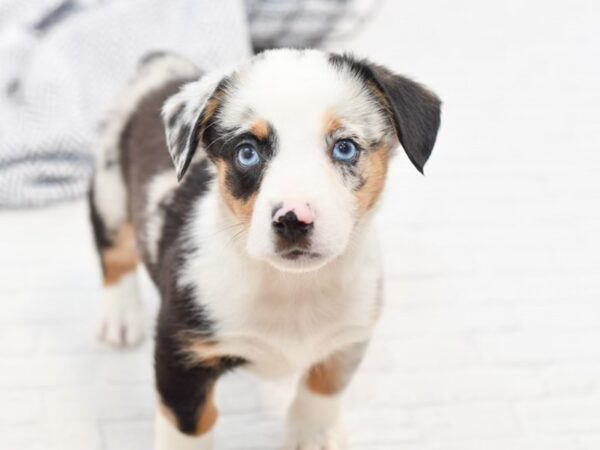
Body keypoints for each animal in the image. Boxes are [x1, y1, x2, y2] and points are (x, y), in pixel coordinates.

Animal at [88, 49, 440, 450]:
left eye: (345, 147)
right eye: (247, 153)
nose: (293, 220)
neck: (290, 285)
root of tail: (160, 64)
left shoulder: (348, 337)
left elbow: (321, 392)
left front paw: (314, 437)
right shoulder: (180, 354)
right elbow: (189, 428)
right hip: (109, 192)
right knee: (114, 253)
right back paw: (120, 316)